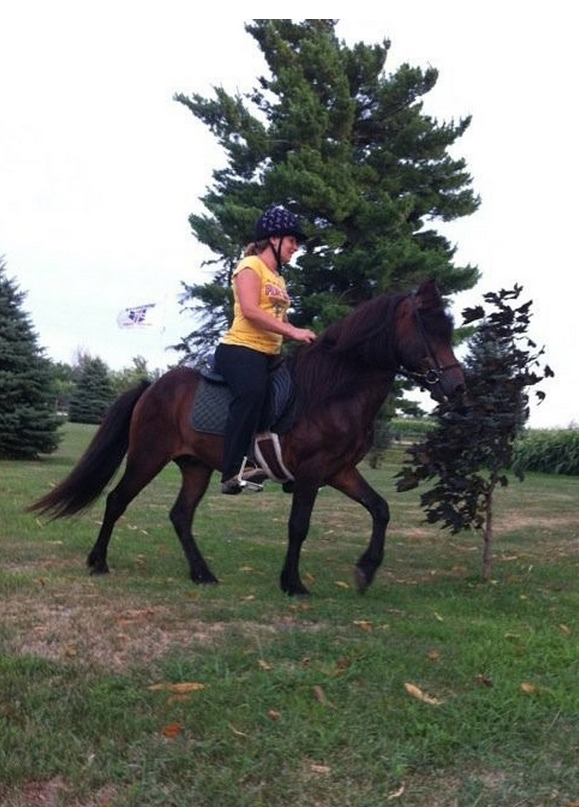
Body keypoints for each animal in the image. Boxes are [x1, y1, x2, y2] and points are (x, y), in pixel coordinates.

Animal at [30, 280, 466, 596]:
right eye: (429, 329)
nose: (456, 386)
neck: (333, 390)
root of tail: (153, 385)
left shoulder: (339, 471)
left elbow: (380, 509)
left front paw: (365, 571)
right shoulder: (311, 473)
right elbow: (299, 525)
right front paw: (293, 583)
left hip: (195, 467)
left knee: (180, 515)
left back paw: (202, 573)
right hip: (147, 456)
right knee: (118, 500)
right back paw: (98, 562)